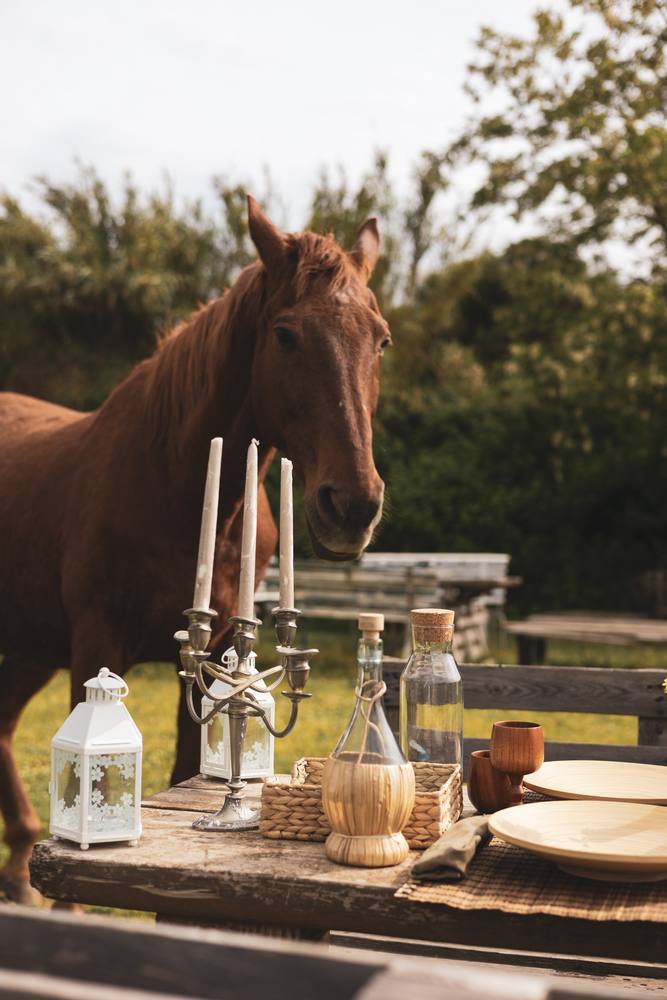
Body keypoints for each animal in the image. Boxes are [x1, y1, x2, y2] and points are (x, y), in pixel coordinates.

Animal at [0, 196, 390, 903]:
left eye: (381, 338)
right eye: (286, 334)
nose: (352, 505)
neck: (174, 484)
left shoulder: (212, 656)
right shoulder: (95, 647)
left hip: (32, 645)